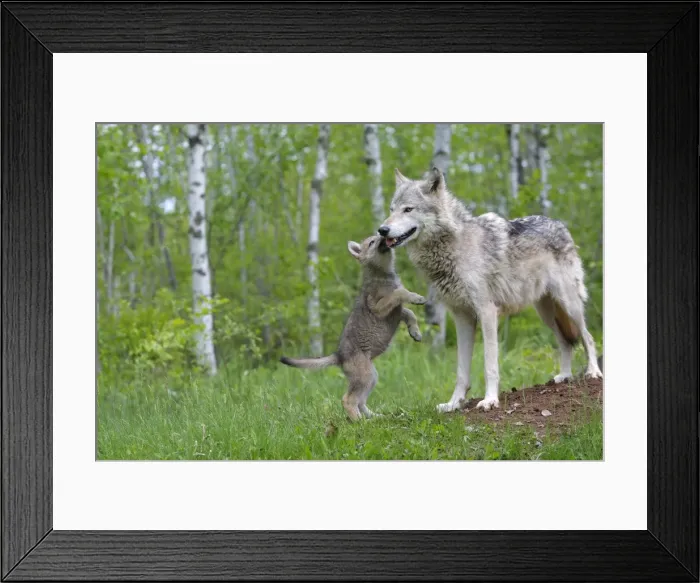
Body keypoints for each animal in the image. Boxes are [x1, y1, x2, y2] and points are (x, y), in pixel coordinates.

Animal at [280, 235, 426, 421]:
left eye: (378, 236)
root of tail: (339, 356)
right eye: (372, 242)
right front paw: (416, 297)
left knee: (360, 402)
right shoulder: (380, 308)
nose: (383, 232)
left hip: (371, 377)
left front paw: (415, 332)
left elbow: (410, 313)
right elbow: (400, 294)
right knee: (347, 400)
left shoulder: (397, 313)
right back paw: (359, 422)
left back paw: (374, 417)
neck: (383, 275)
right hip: (365, 376)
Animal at [378, 167, 603, 413]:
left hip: (569, 305)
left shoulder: (487, 312)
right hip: (546, 313)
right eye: (391, 209)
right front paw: (453, 404)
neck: (455, 247)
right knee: (565, 342)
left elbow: (489, 364)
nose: (382, 230)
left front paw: (490, 400)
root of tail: (559, 224)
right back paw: (564, 376)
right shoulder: (461, 317)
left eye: (408, 209)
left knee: (588, 337)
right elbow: (461, 371)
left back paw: (593, 372)